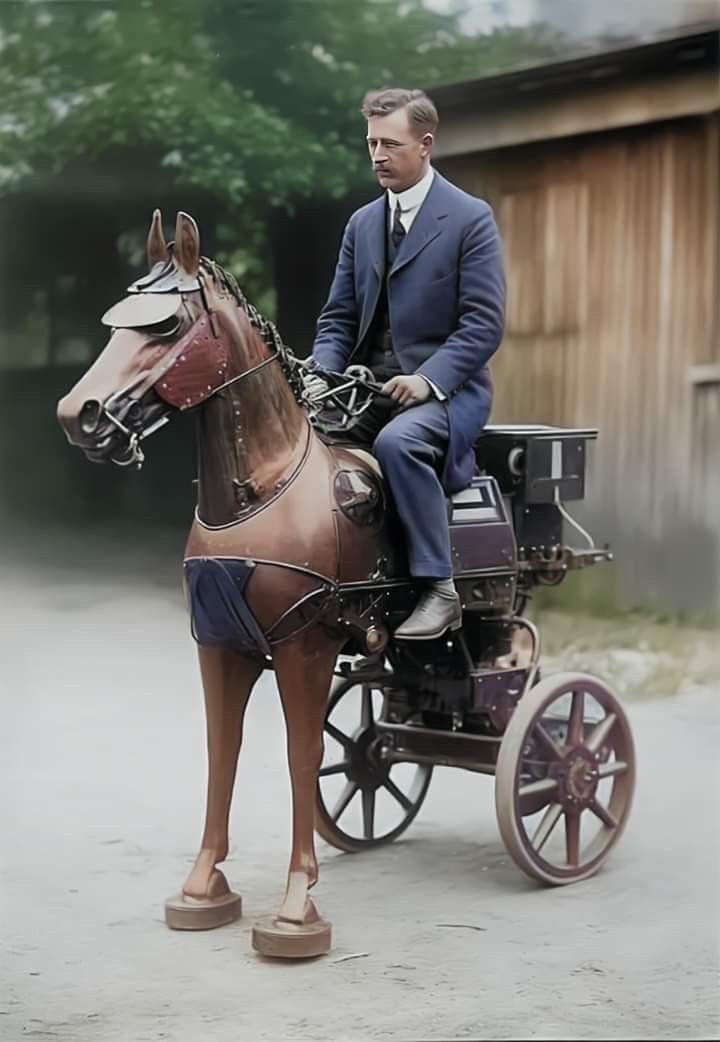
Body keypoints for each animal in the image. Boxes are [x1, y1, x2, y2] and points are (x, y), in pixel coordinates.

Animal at [57, 209, 637, 958]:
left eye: (165, 326)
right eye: (115, 323)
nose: (79, 414)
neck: (264, 491)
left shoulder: (304, 646)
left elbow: (300, 755)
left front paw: (295, 911)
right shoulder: (220, 644)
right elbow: (224, 752)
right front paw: (203, 890)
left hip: (489, 633)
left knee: (546, 721)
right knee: (394, 731)